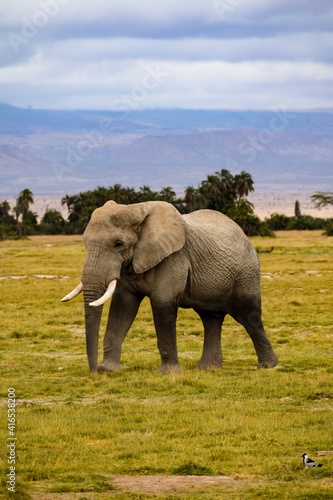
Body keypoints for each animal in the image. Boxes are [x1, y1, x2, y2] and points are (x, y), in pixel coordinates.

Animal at [61, 201, 278, 374]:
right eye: (85, 243)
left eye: (118, 244)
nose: (93, 371)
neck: (136, 210)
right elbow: (123, 307)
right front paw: (108, 370)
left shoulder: (174, 257)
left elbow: (162, 303)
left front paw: (168, 373)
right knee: (210, 319)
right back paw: (206, 368)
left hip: (246, 273)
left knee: (249, 316)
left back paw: (268, 366)